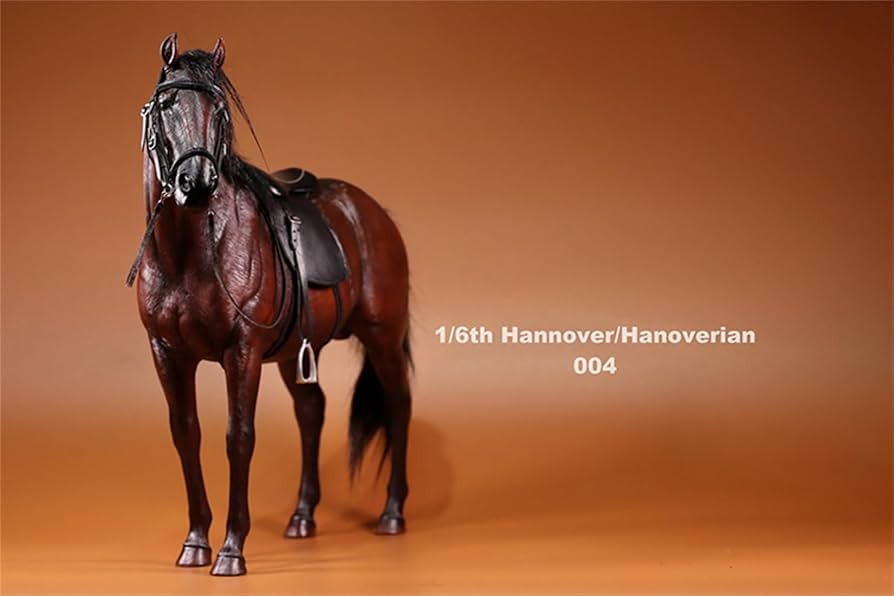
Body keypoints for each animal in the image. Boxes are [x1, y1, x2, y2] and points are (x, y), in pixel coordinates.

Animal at [126, 33, 413, 576]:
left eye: (220, 110)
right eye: (167, 106)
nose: (197, 184)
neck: (189, 251)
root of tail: (370, 211)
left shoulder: (242, 353)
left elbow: (239, 437)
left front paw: (231, 549)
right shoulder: (166, 353)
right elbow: (186, 434)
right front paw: (195, 542)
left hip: (382, 336)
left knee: (398, 405)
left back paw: (391, 513)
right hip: (295, 352)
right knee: (312, 411)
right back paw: (302, 518)